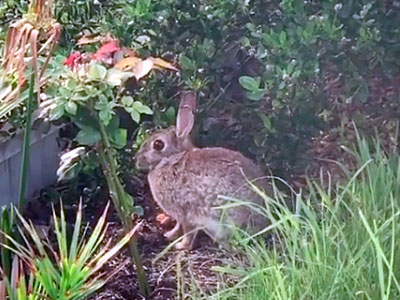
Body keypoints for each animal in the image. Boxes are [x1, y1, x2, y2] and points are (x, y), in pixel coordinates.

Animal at [136, 92, 270, 251]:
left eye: (158, 144)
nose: (137, 159)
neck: (173, 158)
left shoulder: (186, 211)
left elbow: (187, 231)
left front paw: (181, 246)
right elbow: (178, 226)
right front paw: (169, 235)